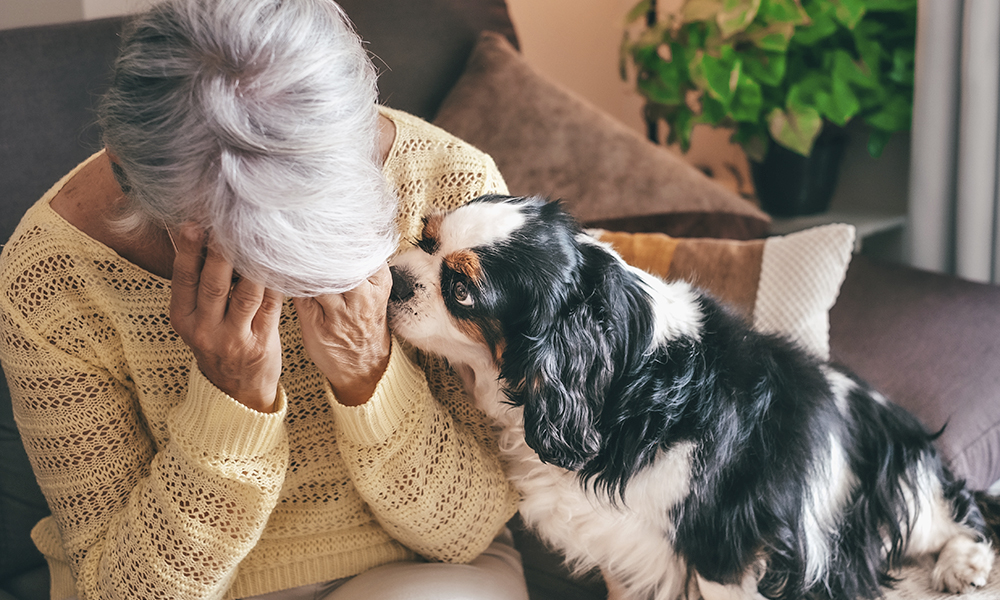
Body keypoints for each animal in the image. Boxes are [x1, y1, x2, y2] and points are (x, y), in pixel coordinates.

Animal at [386, 195, 996, 596]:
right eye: (425, 239)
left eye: (461, 291)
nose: (391, 277)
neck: (621, 386)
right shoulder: (621, 546)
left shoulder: (723, 543)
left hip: (896, 482)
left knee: (963, 512)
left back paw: (962, 565)